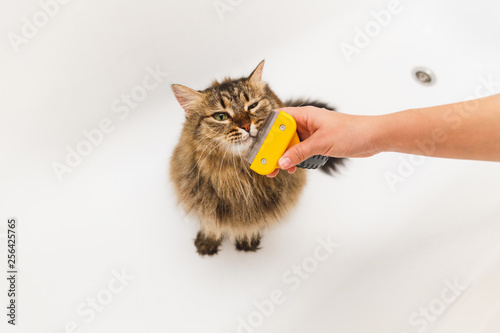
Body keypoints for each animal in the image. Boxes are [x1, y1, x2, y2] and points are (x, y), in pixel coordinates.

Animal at [170, 60, 342, 254]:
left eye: (252, 106)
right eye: (220, 116)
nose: (246, 125)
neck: (240, 176)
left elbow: (251, 227)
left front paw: (247, 241)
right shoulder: (204, 206)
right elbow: (211, 226)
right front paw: (208, 242)